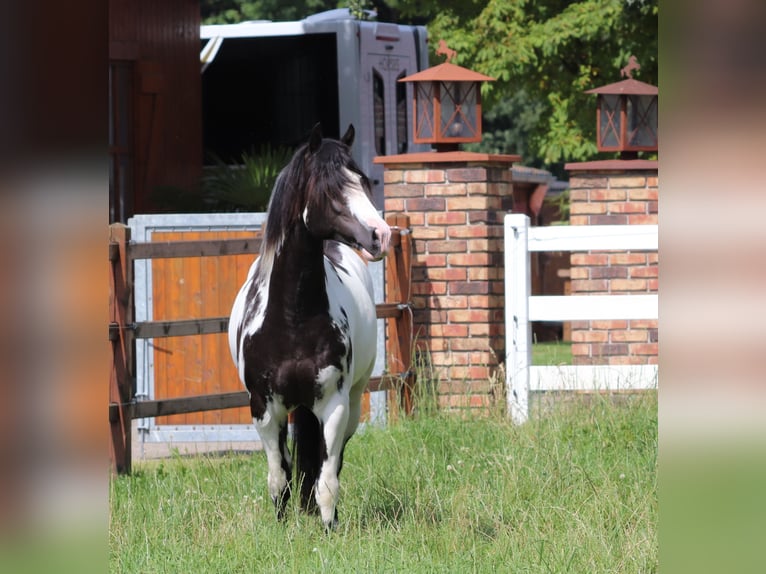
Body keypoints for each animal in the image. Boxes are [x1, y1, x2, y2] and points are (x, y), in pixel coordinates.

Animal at [228, 123, 391, 530]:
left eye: (362, 181)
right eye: (331, 189)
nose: (381, 235)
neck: (292, 318)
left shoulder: (334, 404)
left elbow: (327, 476)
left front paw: (328, 526)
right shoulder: (264, 408)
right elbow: (279, 475)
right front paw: (282, 525)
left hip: (352, 402)